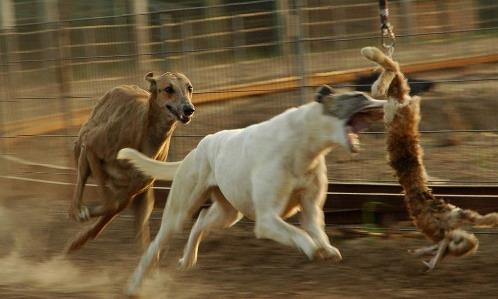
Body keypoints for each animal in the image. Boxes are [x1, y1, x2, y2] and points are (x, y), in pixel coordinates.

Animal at [117, 85, 386, 296]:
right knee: (155, 246)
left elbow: (316, 230)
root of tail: (198, 148)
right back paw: (134, 286)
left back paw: (187, 259)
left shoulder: (311, 210)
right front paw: (312, 249)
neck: (303, 142)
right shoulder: (267, 220)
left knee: (200, 222)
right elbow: (298, 234)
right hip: (178, 214)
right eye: (360, 95)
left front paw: (327, 250)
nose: (388, 102)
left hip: (228, 214)